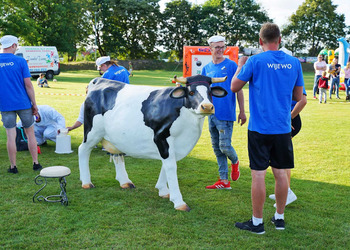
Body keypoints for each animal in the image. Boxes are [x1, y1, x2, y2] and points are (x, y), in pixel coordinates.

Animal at [77, 74, 227, 211]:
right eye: (191, 92)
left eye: (210, 92)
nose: (207, 106)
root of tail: (98, 80)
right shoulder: (161, 137)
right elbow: (171, 166)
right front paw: (178, 201)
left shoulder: (176, 145)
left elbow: (167, 165)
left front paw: (163, 191)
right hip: (92, 132)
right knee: (83, 150)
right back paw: (86, 182)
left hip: (114, 136)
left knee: (116, 154)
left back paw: (125, 182)